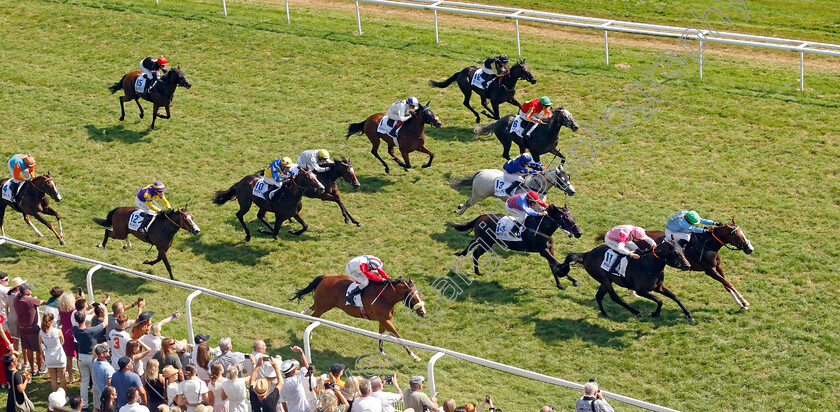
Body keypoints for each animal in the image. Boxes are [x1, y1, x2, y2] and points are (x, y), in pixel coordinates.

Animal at [292, 276, 426, 362]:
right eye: (413, 296)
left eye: (419, 294)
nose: (423, 312)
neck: (385, 297)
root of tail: (326, 278)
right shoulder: (385, 320)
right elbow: (399, 337)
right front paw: (414, 356)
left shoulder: (383, 320)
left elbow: (381, 335)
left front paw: (382, 352)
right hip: (324, 306)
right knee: (314, 316)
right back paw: (309, 334)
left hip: (323, 304)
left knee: (312, 309)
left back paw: (303, 313)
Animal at [446, 204, 584, 288]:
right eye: (567, 218)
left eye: (574, 217)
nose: (579, 233)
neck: (542, 228)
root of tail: (482, 216)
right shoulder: (543, 250)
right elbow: (558, 264)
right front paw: (565, 275)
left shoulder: (549, 249)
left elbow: (554, 265)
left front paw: (566, 283)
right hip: (486, 242)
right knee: (475, 251)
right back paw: (476, 270)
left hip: (484, 241)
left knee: (472, 245)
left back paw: (465, 257)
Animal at [556, 240, 696, 324]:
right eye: (675, 252)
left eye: (682, 250)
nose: (688, 265)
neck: (651, 265)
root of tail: (586, 255)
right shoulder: (641, 290)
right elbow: (659, 300)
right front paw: (654, 313)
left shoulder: (659, 287)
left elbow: (675, 297)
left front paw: (689, 316)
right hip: (604, 279)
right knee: (614, 297)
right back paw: (636, 312)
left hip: (605, 280)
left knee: (599, 296)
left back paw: (605, 314)